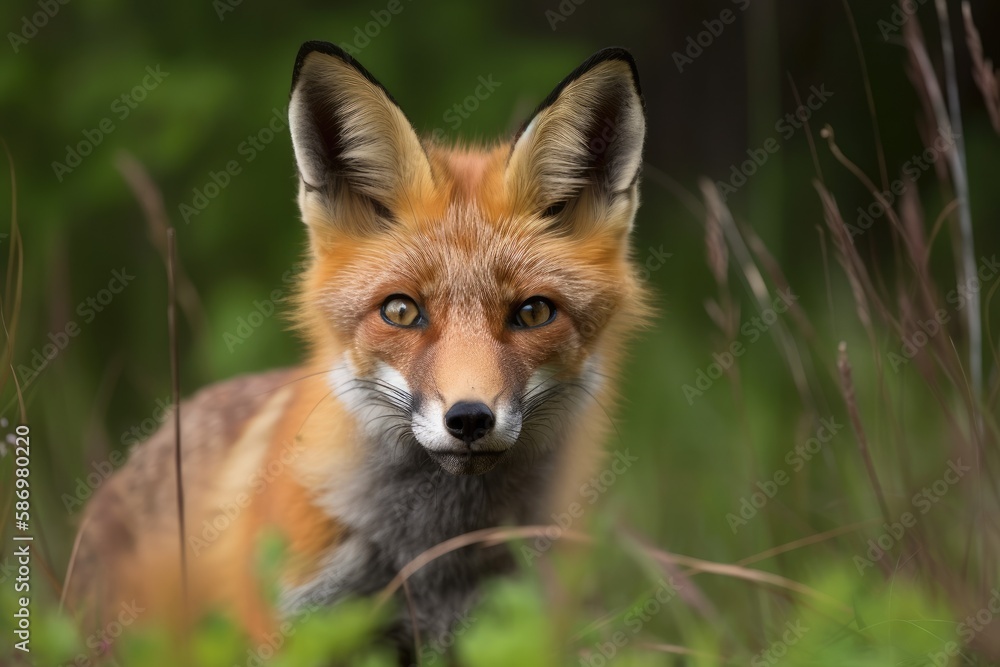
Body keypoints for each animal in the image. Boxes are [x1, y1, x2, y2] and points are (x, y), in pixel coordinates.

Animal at [68, 40, 648, 656]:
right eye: (400, 311)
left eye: (534, 312)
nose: (469, 419)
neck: (431, 553)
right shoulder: (300, 627)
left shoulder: (507, 625)